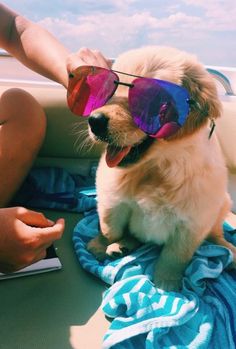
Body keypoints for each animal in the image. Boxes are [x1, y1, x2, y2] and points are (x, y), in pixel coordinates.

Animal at [85, 46, 235, 290]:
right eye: (109, 91)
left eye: (146, 100)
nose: (94, 121)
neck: (157, 168)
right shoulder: (111, 197)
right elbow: (109, 226)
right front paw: (100, 244)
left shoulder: (193, 222)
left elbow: (175, 256)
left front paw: (167, 282)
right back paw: (121, 246)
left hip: (221, 205)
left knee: (216, 235)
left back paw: (230, 251)